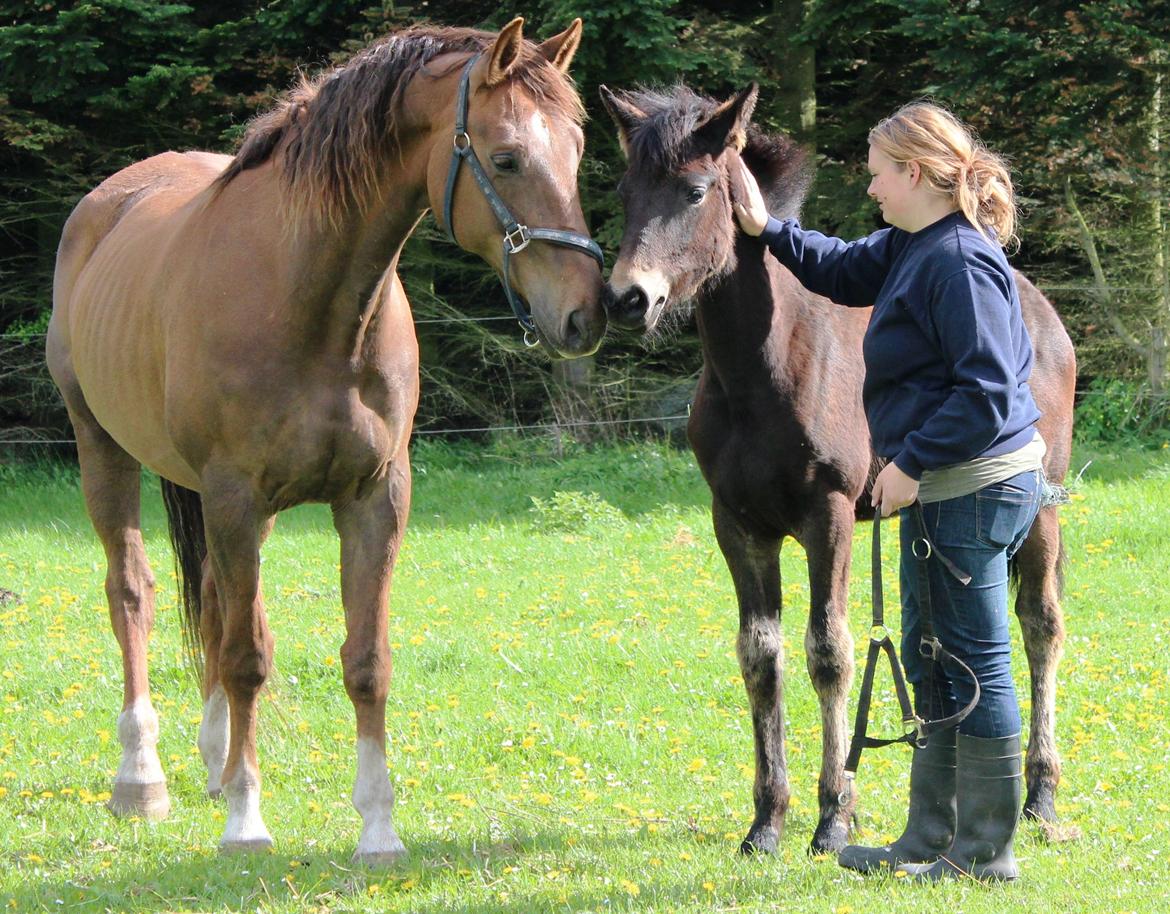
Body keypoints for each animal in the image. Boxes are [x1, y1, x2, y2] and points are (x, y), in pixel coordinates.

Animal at [49, 21, 608, 861]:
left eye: (576, 149)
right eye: (507, 157)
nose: (589, 313)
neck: (309, 299)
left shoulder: (373, 499)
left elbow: (364, 661)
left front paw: (377, 827)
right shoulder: (237, 496)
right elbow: (248, 659)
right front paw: (246, 822)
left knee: (212, 600)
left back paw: (215, 763)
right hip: (104, 450)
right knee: (133, 595)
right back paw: (141, 779)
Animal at [599, 85, 1071, 856]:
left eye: (695, 190)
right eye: (623, 192)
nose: (626, 299)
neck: (759, 372)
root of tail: (1039, 308)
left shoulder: (831, 516)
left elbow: (830, 653)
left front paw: (832, 816)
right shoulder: (737, 524)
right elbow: (760, 656)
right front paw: (766, 821)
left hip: (1042, 510)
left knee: (1040, 625)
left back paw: (1041, 796)